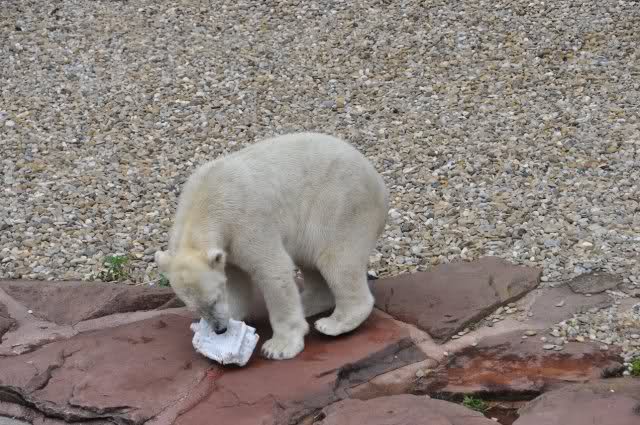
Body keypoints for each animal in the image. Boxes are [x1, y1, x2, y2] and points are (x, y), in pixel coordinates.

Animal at [155, 132, 389, 360]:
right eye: (195, 309)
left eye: (214, 299)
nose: (220, 329)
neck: (208, 196)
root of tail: (378, 182)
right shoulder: (228, 246)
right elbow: (235, 278)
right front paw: (233, 319)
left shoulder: (247, 223)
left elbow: (273, 270)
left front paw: (278, 347)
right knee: (309, 259)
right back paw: (308, 303)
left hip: (341, 206)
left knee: (336, 260)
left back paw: (334, 323)